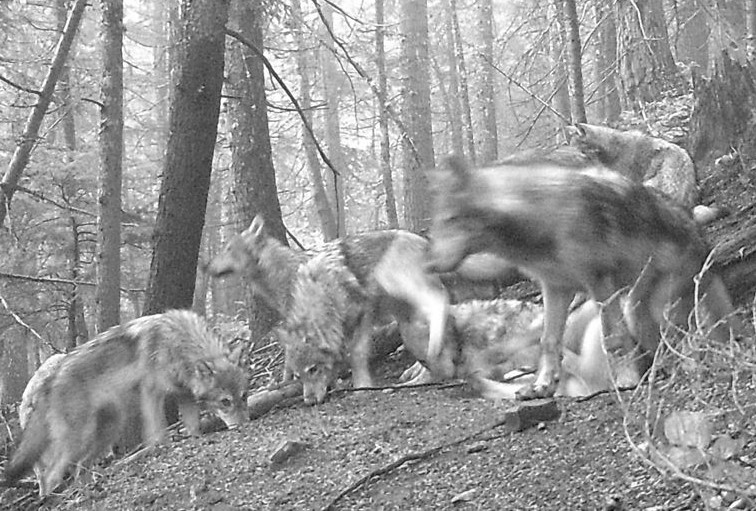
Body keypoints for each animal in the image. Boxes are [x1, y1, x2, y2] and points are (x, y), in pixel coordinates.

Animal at [5, 310, 247, 496]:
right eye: (225, 402)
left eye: (243, 397)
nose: (243, 425)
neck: (176, 342)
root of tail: (48, 383)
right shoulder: (151, 393)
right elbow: (158, 434)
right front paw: (163, 448)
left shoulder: (184, 396)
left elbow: (193, 427)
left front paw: (194, 438)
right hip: (78, 439)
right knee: (49, 475)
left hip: (108, 431)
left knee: (80, 468)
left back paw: (87, 491)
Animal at [425, 153, 740, 400]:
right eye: (436, 227)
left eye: (450, 221)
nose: (428, 265)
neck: (540, 218)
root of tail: (704, 247)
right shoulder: (555, 288)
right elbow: (548, 341)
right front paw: (541, 387)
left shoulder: (599, 283)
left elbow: (612, 339)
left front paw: (625, 382)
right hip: (639, 310)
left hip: (643, 308)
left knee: (685, 341)